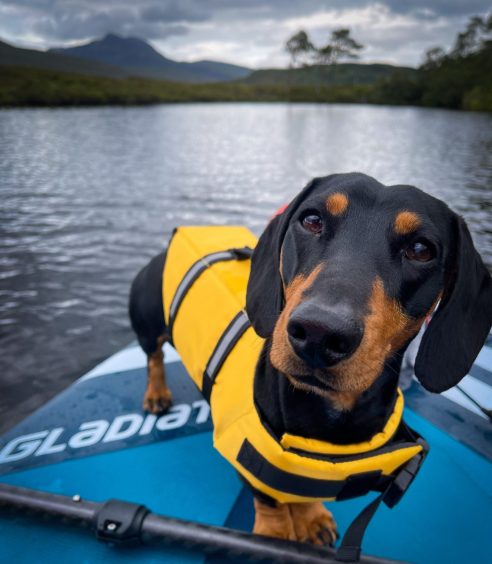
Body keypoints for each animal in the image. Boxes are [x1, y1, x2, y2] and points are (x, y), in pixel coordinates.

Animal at [129, 173, 490, 548]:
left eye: (421, 250)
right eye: (312, 220)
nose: (320, 333)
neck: (329, 414)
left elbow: (303, 487)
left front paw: (310, 518)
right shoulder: (247, 450)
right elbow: (267, 495)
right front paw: (274, 532)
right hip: (147, 323)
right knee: (154, 358)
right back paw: (156, 394)